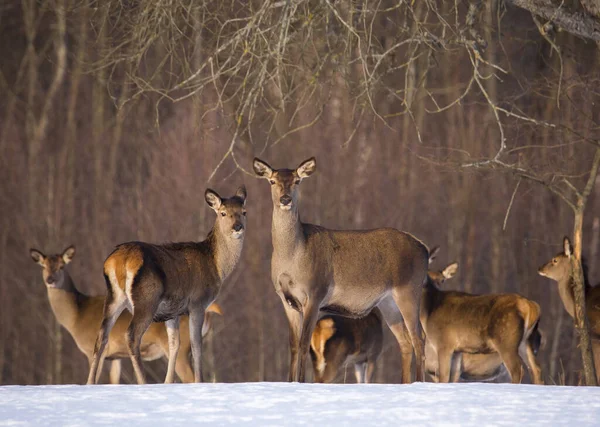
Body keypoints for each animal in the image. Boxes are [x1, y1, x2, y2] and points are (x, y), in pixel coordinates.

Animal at [31, 247, 223, 384]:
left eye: (61, 266)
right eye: (43, 266)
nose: (50, 280)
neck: (76, 317)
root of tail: (209, 312)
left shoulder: (90, 349)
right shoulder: (115, 357)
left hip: (182, 349)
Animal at [86, 186, 246, 384]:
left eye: (243, 212)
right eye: (223, 213)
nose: (237, 227)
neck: (216, 266)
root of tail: (119, 261)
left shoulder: (172, 311)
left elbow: (174, 345)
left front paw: (168, 382)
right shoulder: (198, 302)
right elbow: (196, 345)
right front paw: (199, 381)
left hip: (114, 296)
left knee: (101, 335)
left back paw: (90, 383)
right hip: (146, 297)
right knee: (132, 335)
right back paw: (142, 381)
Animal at [252, 158, 426, 384]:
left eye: (298, 181)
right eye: (272, 181)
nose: (285, 199)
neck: (292, 257)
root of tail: (424, 249)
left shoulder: (315, 293)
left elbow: (303, 342)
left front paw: (301, 381)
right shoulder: (286, 299)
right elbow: (293, 345)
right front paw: (290, 382)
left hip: (409, 290)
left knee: (419, 338)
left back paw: (419, 381)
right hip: (388, 302)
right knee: (405, 341)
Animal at [422, 247, 544, 384]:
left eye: (442, 279)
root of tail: (531, 306)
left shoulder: (444, 343)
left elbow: (444, 377)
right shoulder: (456, 351)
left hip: (506, 340)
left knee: (518, 369)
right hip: (525, 341)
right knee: (536, 369)